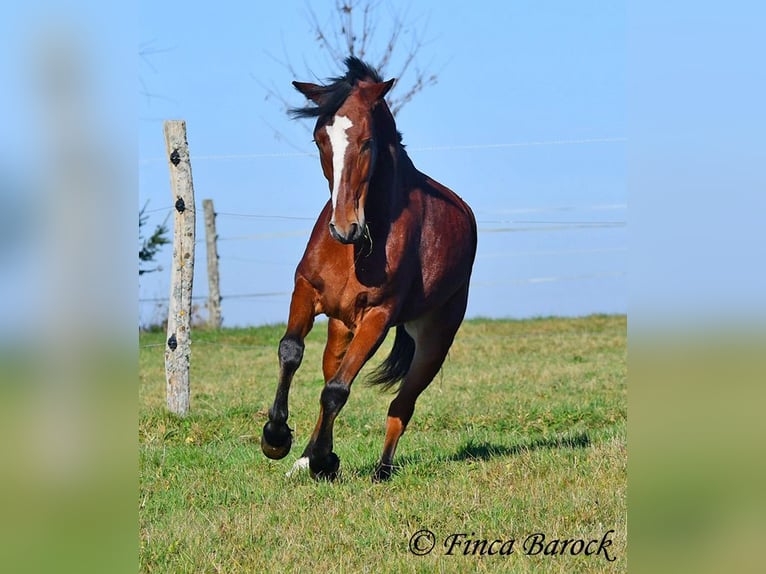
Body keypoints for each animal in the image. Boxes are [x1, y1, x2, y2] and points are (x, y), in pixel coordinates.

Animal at [264, 57, 480, 482]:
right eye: (320, 139)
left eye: (367, 142)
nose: (344, 226)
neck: (359, 248)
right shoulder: (306, 290)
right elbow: (291, 352)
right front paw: (278, 439)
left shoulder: (377, 318)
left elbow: (337, 391)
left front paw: (322, 460)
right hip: (339, 327)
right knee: (331, 373)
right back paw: (307, 458)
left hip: (434, 339)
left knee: (401, 405)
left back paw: (381, 469)